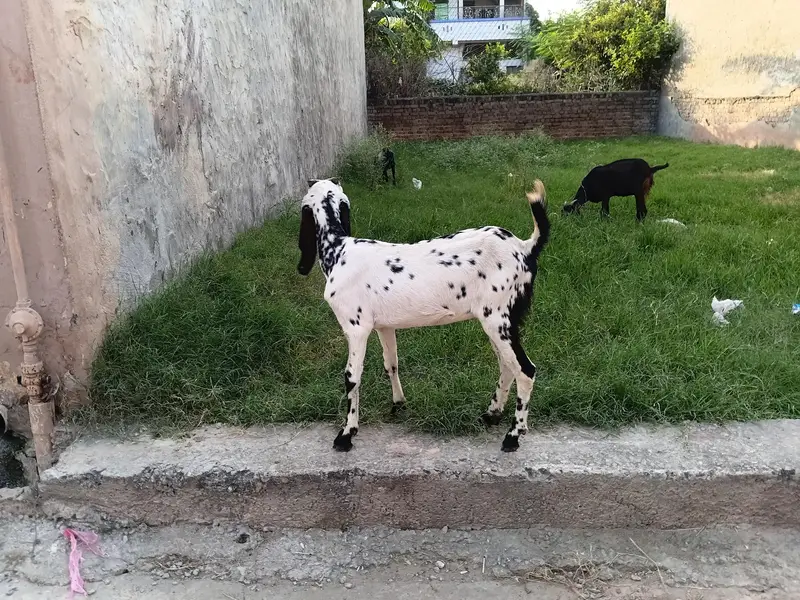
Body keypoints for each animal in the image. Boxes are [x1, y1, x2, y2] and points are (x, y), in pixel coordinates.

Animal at [297, 178, 551, 453]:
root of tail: (524, 247)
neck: (339, 251)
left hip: (499, 318)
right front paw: (398, 404)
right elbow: (391, 363)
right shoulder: (384, 326)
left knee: (525, 370)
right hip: (499, 321)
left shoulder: (356, 327)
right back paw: (491, 415)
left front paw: (346, 434)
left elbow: (352, 377)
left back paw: (513, 435)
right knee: (507, 364)